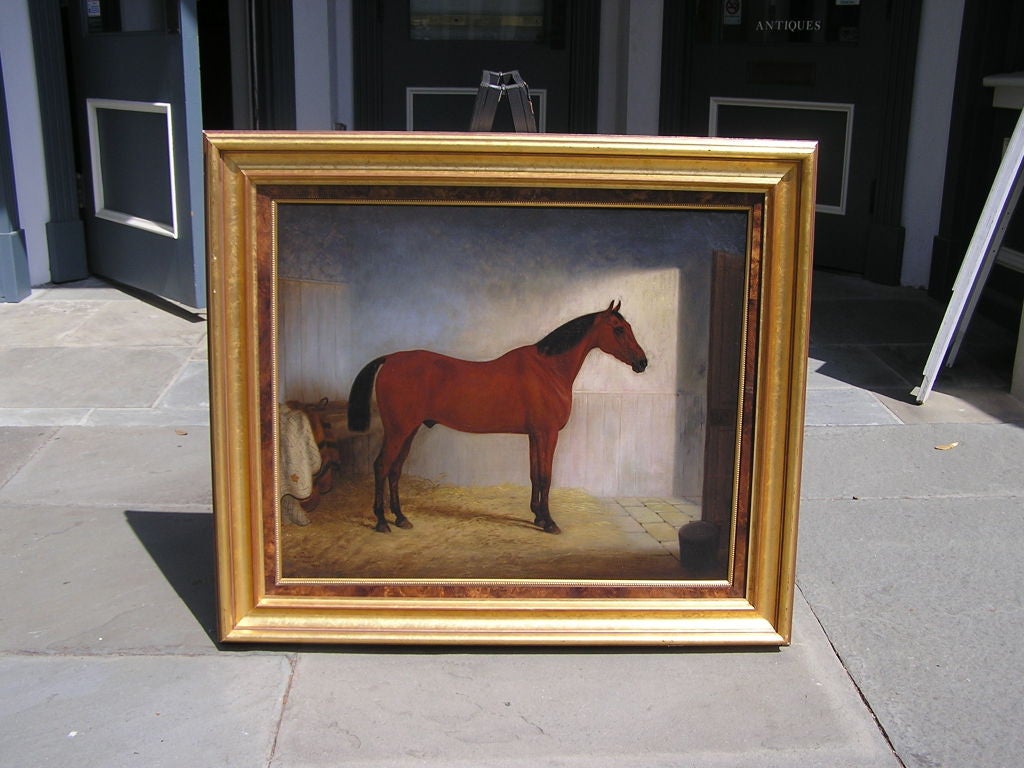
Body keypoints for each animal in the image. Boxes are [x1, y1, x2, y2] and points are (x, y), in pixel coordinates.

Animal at [348, 303, 643, 536]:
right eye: (619, 329)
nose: (643, 362)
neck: (548, 369)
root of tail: (390, 359)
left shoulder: (535, 435)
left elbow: (535, 474)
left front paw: (537, 516)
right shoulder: (547, 434)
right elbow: (546, 477)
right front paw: (549, 522)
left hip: (408, 431)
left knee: (394, 470)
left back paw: (401, 518)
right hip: (398, 431)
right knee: (381, 466)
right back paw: (381, 521)